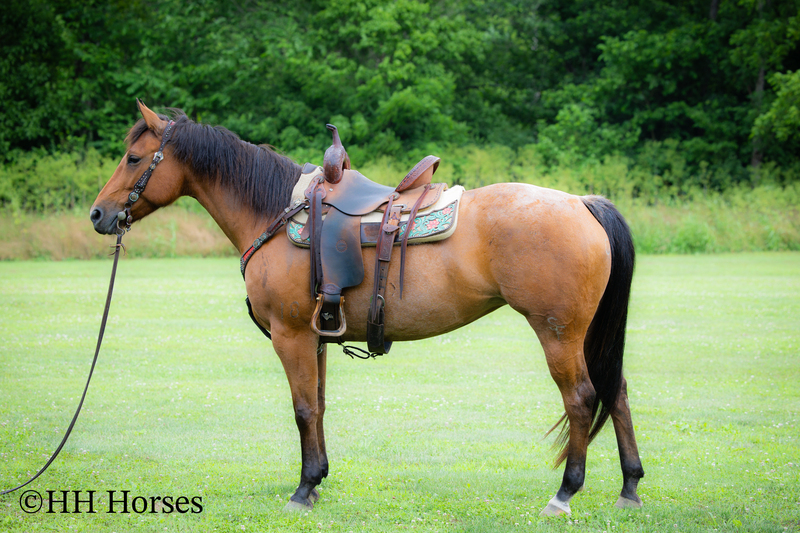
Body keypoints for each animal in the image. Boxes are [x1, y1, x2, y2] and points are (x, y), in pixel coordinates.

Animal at [90, 101, 644, 516]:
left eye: (134, 158)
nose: (98, 214)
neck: (273, 213)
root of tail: (581, 203)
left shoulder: (291, 334)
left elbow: (302, 408)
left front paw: (302, 490)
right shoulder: (315, 337)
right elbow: (318, 407)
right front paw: (316, 481)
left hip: (558, 333)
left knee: (582, 398)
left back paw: (565, 493)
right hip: (584, 334)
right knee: (615, 391)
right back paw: (630, 488)